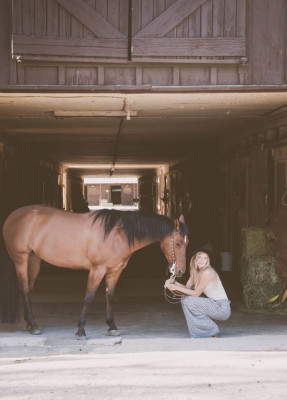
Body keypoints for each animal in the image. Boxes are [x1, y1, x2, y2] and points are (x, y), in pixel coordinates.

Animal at [1, 205, 190, 340]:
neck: (117, 234)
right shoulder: (97, 270)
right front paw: (81, 330)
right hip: (20, 260)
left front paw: (112, 327)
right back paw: (33, 326)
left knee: (28, 290)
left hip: (34, 261)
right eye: (178, 243)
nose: (180, 270)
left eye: (187, 243)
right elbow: (89, 297)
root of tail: (13, 216)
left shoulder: (114, 271)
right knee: (24, 289)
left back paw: (29, 324)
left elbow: (110, 296)